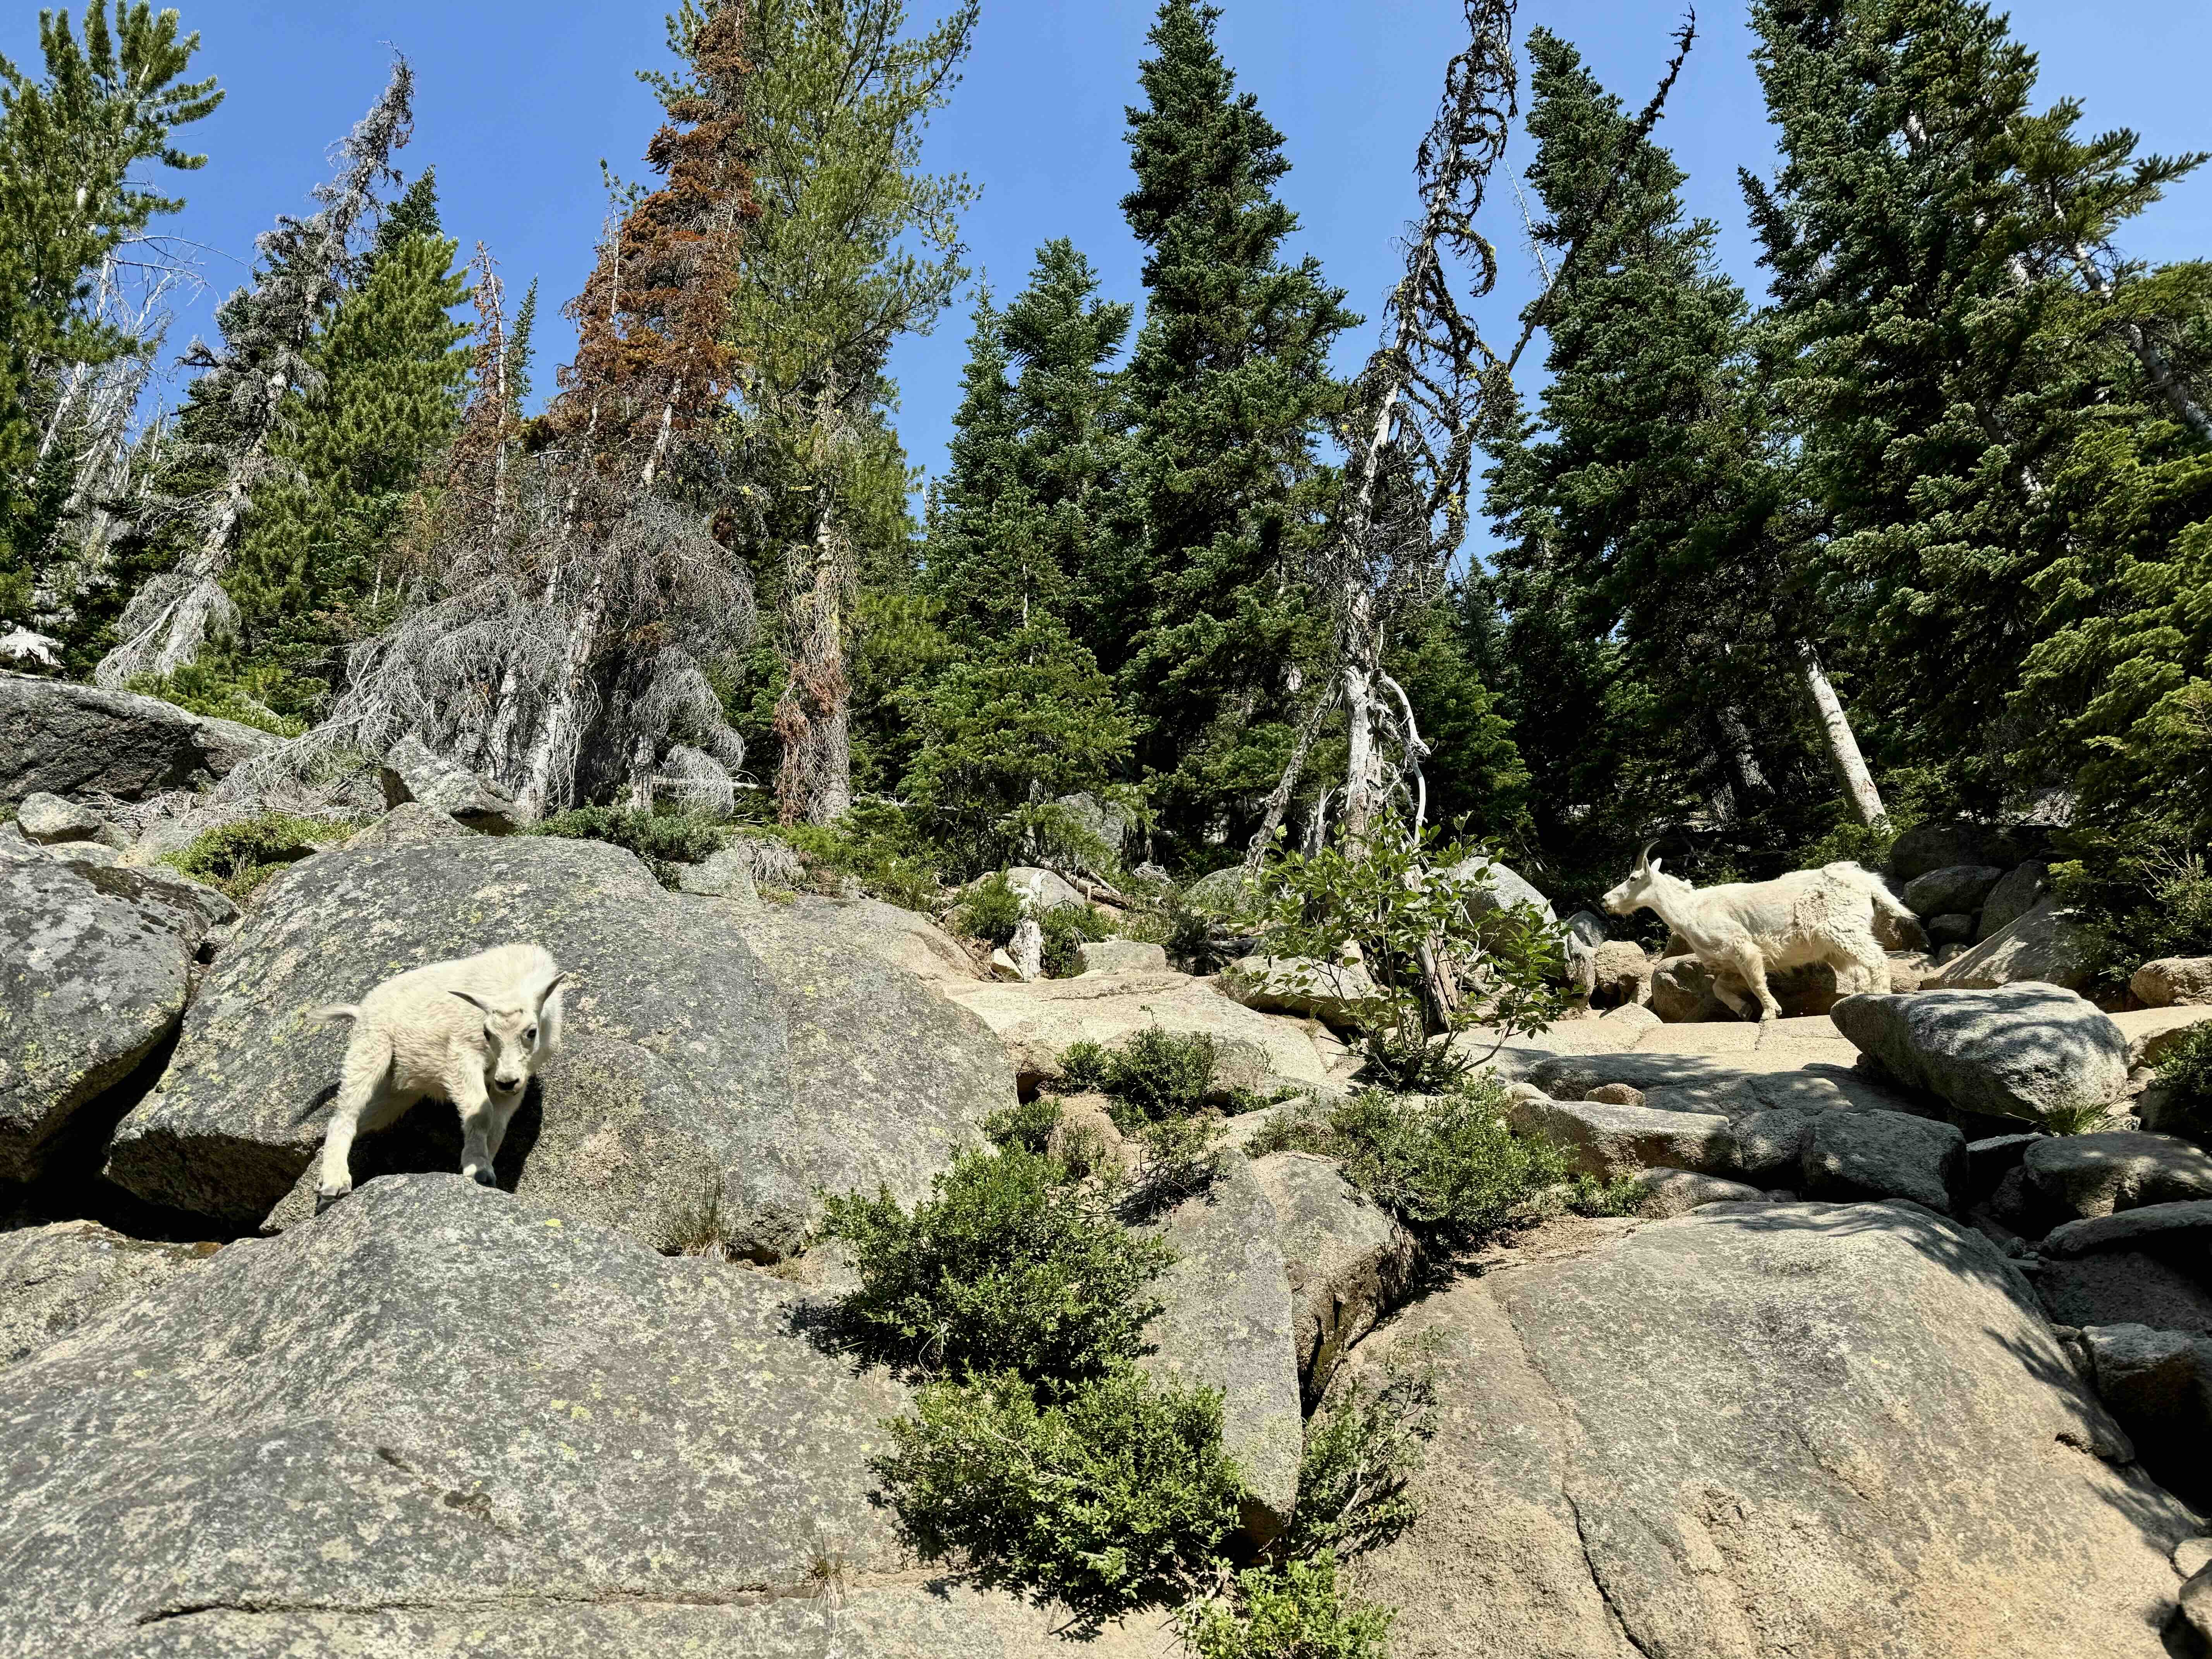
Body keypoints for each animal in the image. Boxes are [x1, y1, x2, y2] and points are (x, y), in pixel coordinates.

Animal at [1601, 858, 1911, 1026]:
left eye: (1633, 878)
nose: (1605, 900)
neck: (1689, 910)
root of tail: (1867, 882)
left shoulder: (1742, 946)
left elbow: (1757, 982)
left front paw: (1769, 1013)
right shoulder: (1729, 964)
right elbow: (1719, 988)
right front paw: (1744, 1009)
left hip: (1842, 928)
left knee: (1876, 959)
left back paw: (1879, 998)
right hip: (1835, 944)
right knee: (1860, 969)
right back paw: (1853, 999)